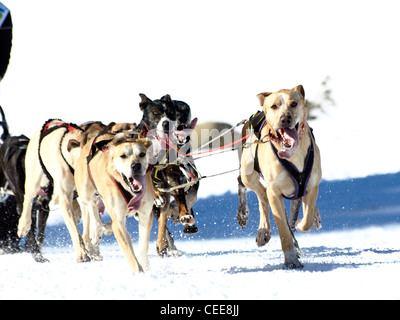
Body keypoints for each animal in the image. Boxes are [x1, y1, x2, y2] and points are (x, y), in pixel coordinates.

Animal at [74, 132, 154, 272]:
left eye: (142, 154)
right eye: (123, 156)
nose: (136, 166)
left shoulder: (145, 215)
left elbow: (143, 245)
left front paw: (145, 265)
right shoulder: (119, 222)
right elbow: (129, 253)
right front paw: (140, 272)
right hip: (85, 192)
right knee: (92, 208)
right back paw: (96, 232)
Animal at [238, 84, 322, 268]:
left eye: (294, 104)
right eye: (274, 106)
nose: (285, 119)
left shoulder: (312, 185)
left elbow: (307, 217)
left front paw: (304, 222)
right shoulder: (275, 192)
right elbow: (284, 230)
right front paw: (290, 259)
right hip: (248, 174)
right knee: (262, 194)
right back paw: (262, 230)